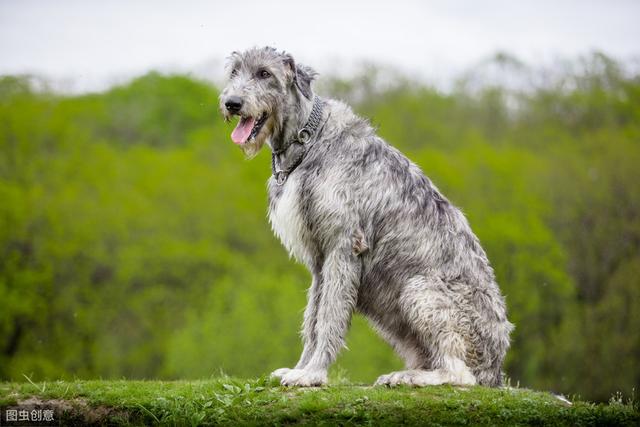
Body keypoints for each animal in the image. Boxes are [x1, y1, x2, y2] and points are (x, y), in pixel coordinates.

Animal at [220, 46, 516, 388]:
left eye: (265, 73)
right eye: (234, 72)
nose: (232, 103)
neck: (310, 140)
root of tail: (496, 369)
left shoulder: (343, 247)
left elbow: (330, 317)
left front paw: (313, 374)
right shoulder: (320, 261)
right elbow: (313, 317)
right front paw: (300, 368)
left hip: (419, 290)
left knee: (460, 373)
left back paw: (409, 377)